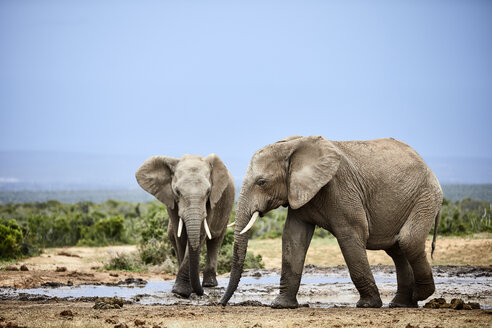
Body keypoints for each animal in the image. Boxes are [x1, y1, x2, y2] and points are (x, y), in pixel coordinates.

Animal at [135, 154, 234, 298]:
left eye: (208, 191)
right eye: (177, 191)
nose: (202, 293)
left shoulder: (211, 202)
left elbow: (200, 233)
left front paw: (181, 291)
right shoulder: (170, 199)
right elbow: (180, 235)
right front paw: (182, 291)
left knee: (215, 240)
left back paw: (209, 284)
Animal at [219, 135, 442, 308]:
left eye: (262, 182)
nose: (221, 303)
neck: (293, 146)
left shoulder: (340, 188)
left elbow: (350, 234)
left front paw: (367, 305)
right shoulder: (299, 192)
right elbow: (293, 238)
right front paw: (281, 305)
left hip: (425, 196)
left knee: (408, 240)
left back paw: (419, 296)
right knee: (396, 249)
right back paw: (401, 304)